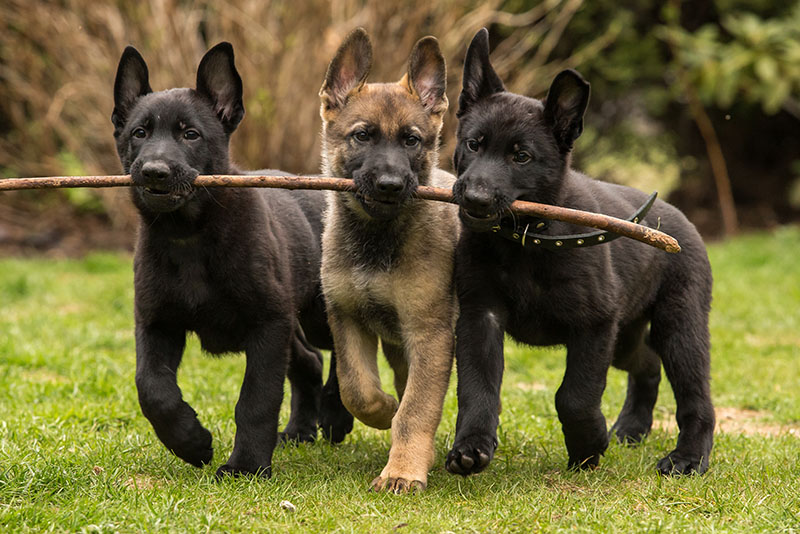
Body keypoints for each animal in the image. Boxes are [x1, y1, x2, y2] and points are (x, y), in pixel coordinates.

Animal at [111, 42, 352, 478]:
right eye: (139, 133)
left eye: (190, 134)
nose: (154, 172)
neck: (189, 236)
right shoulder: (157, 323)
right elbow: (152, 389)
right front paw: (191, 442)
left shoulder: (267, 325)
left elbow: (256, 400)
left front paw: (246, 467)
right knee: (309, 361)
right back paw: (299, 431)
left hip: (317, 312)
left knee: (348, 350)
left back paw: (336, 415)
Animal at [318, 27, 460, 492]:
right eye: (362, 136)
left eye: (411, 140)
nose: (390, 185)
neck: (376, 240)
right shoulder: (346, 317)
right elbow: (356, 387)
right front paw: (383, 410)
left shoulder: (430, 334)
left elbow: (417, 408)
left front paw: (402, 471)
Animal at [446, 30, 716, 478]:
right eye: (473, 145)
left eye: (521, 156)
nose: (475, 199)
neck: (526, 240)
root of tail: (677, 218)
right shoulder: (479, 316)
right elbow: (477, 387)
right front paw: (471, 447)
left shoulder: (595, 325)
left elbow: (574, 395)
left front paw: (588, 445)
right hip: (626, 336)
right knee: (646, 364)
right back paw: (631, 428)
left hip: (678, 326)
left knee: (696, 395)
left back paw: (688, 457)